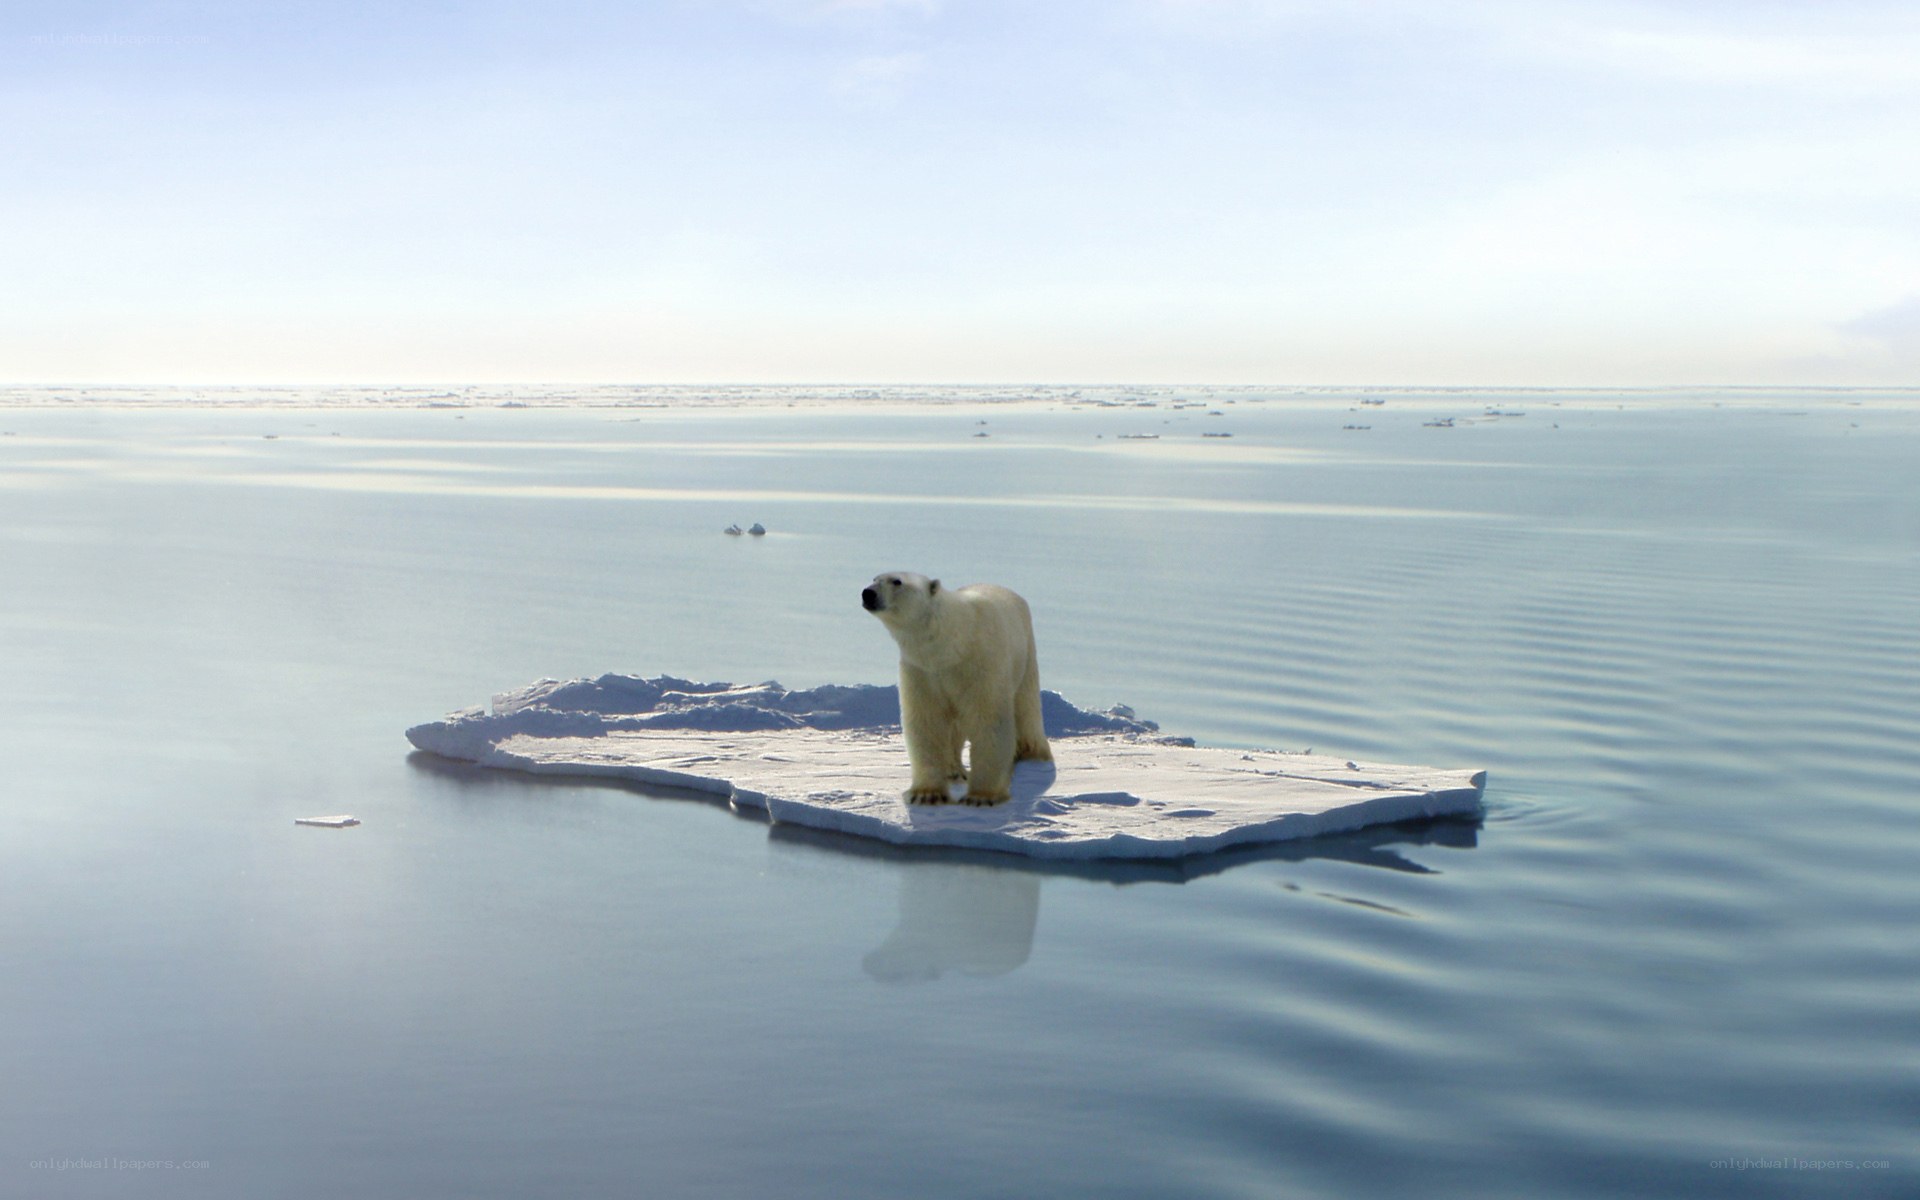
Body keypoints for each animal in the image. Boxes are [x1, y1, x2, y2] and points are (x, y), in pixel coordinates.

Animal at [861, 572, 1051, 806]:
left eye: (897, 581)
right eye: (874, 578)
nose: (868, 593)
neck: (950, 645)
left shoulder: (981, 666)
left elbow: (989, 720)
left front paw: (981, 797)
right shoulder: (922, 671)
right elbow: (927, 721)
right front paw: (926, 794)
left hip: (1025, 657)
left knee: (1026, 710)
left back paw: (1034, 756)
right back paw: (954, 771)